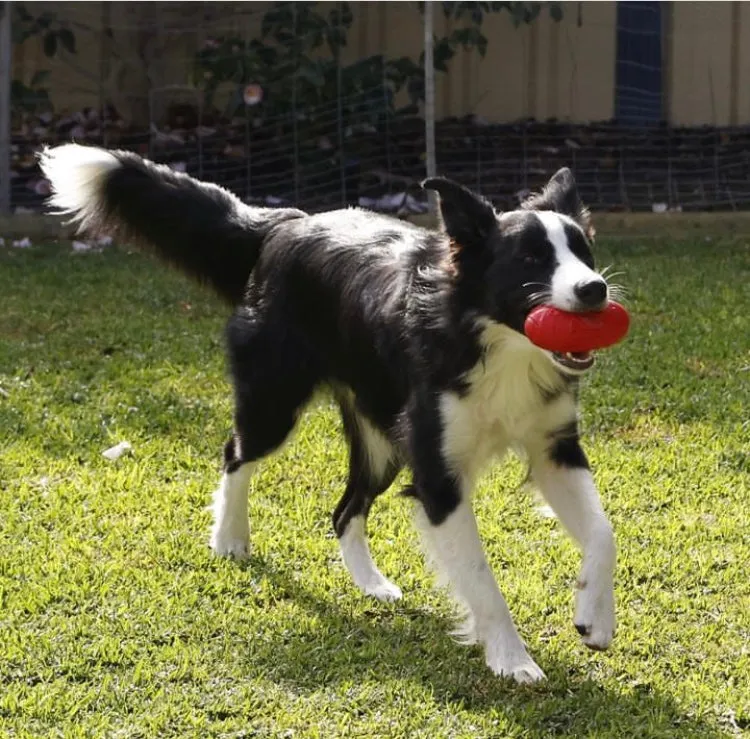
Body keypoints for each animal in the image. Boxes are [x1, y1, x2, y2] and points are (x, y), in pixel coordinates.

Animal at [38, 146, 620, 688]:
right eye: (531, 259)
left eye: (584, 251)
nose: (595, 288)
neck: (495, 342)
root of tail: (286, 223)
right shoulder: (438, 476)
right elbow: (481, 576)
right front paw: (512, 658)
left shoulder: (554, 448)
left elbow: (604, 531)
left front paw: (594, 618)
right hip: (275, 401)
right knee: (236, 454)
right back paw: (229, 538)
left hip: (381, 437)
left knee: (344, 510)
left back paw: (371, 584)